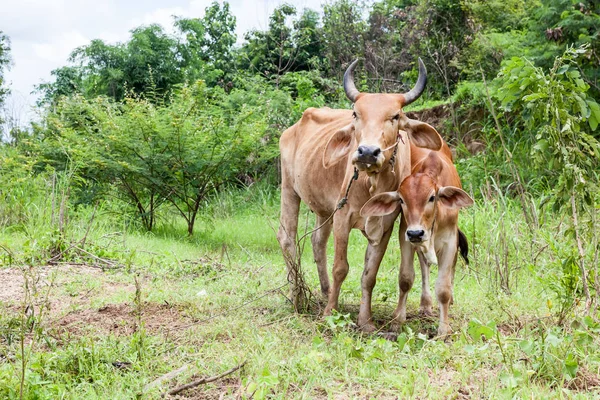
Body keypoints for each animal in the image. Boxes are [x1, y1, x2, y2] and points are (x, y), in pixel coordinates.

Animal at [278, 57, 442, 332]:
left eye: (394, 116)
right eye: (356, 114)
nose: (367, 152)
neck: (372, 183)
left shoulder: (385, 225)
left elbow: (369, 274)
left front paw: (365, 321)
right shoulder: (343, 217)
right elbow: (341, 268)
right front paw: (329, 313)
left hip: (323, 208)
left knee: (317, 242)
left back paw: (325, 291)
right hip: (289, 189)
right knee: (287, 239)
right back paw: (297, 296)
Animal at [360, 139, 474, 336]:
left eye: (432, 197)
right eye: (401, 200)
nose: (416, 233)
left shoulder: (450, 241)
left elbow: (443, 288)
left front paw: (444, 329)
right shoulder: (405, 236)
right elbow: (405, 279)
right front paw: (397, 320)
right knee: (424, 265)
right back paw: (425, 304)